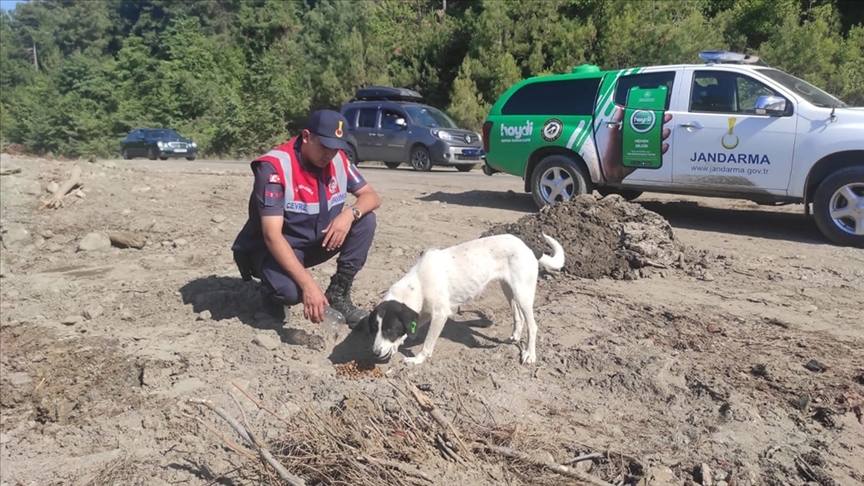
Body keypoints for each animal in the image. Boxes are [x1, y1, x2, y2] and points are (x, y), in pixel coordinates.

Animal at [366, 233, 564, 364]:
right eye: (375, 328)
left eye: (390, 329)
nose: (374, 353)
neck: (417, 283)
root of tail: (528, 246)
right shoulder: (425, 312)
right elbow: (410, 329)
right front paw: (396, 345)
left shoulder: (440, 314)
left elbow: (428, 343)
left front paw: (417, 359)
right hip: (509, 289)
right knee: (519, 316)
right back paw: (514, 336)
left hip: (523, 292)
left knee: (533, 326)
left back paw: (530, 354)